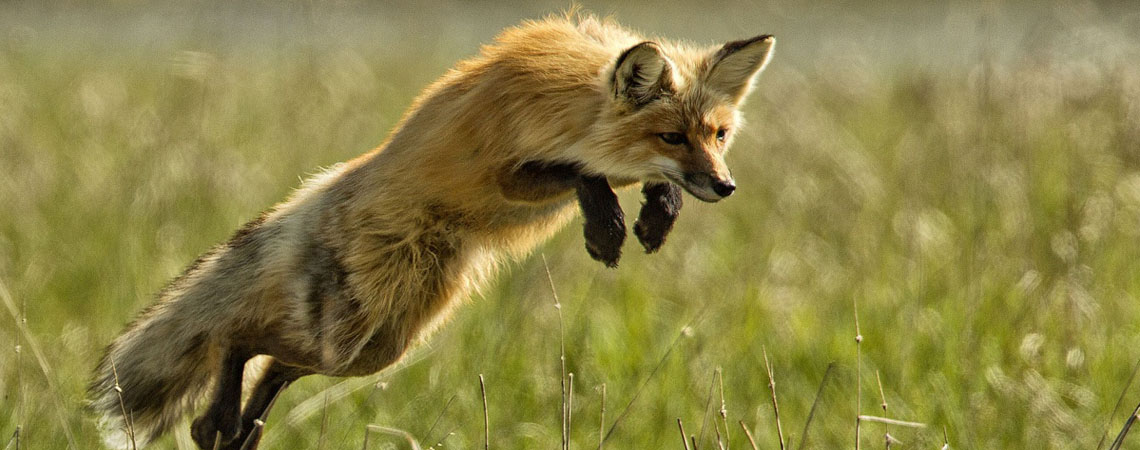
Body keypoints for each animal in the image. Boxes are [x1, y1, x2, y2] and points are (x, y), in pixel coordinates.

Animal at [88, 11, 775, 450]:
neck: (566, 104)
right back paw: (219, 424)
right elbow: (582, 174)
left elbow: (629, 181)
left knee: (271, 367)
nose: (726, 186)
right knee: (235, 337)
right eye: (671, 136)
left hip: (376, 345)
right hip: (348, 336)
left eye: (718, 135)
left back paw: (229, 432)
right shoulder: (507, 169)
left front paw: (657, 215)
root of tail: (320, 189)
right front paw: (606, 228)